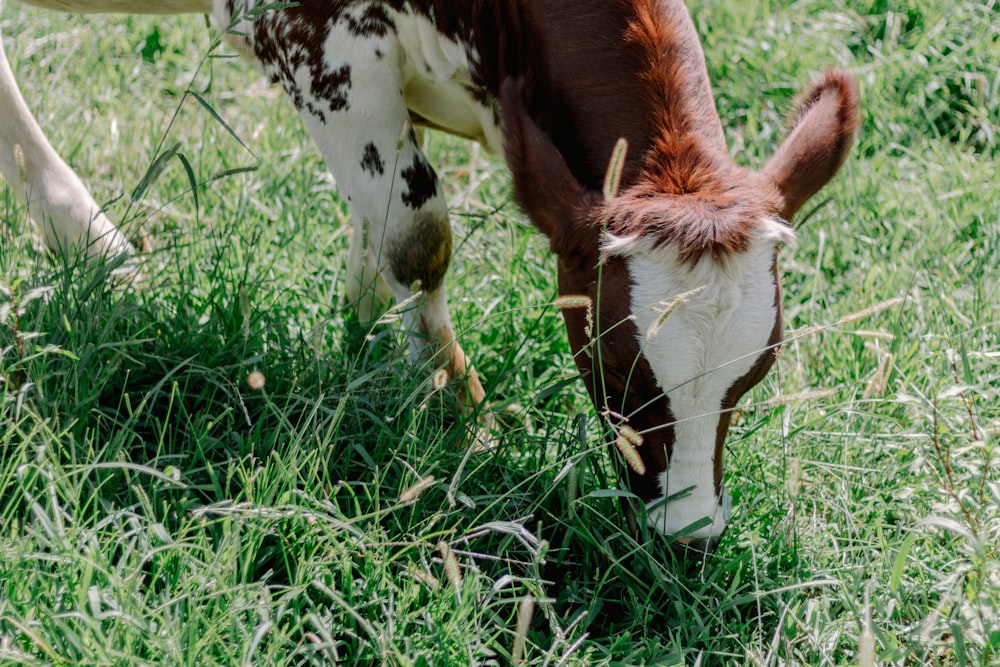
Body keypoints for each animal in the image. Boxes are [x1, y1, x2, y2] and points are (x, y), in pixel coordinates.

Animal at [0, 0, 860, 552]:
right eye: (616, 368)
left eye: (755, 373)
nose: (691, 533)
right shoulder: (312, 40)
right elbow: (417, 236)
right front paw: (457, 411)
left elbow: (377, 231)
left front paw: (362, 355)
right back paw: (89, 239)